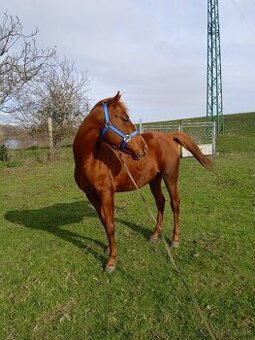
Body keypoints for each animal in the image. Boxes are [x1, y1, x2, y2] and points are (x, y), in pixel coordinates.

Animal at [72, 91, 212, 272]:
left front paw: (111, 261)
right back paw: (155, 235)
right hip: (154, 180)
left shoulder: (107, 194)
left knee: (175, 203)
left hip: (170, 177)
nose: (143, 148)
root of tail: (168, 136)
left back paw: (175, 240)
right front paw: (109, 249)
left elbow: (110, 225)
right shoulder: (91, 195)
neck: (91, 160)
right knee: (161, 202)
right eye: (124, 119)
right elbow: (104, 222)